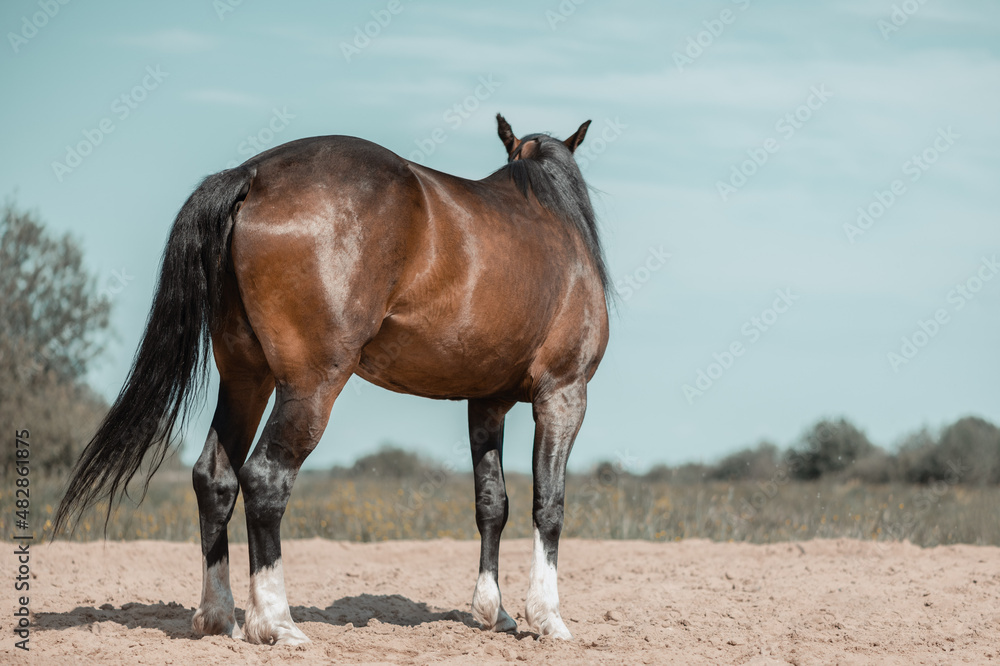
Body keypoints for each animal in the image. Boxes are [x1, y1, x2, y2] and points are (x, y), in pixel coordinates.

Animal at [54, 113, 610, 645]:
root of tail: (252, 175)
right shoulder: (564, 394)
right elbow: (549, 503)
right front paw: (548, 619)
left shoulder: (486, 401)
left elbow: (492, 503)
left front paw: (495, 613)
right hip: (312, 385)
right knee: (266, 479)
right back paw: (275, 623)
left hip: (246, 378)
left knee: (215, 477)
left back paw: (219, 617)